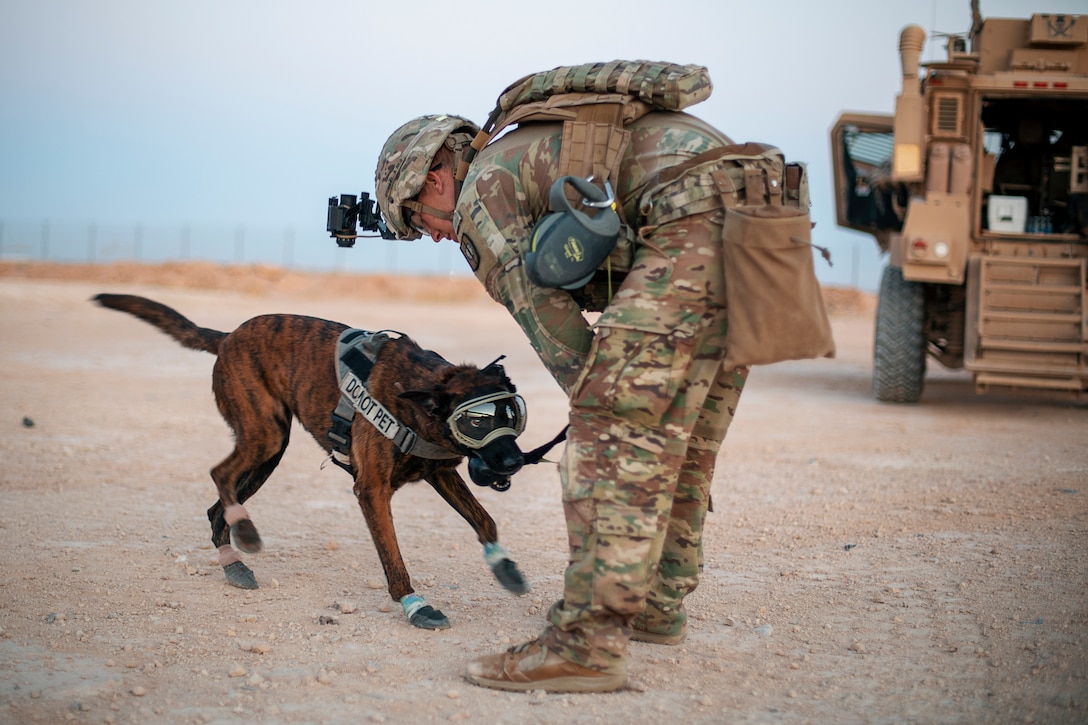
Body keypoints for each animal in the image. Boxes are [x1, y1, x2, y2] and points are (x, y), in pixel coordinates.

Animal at [95, 293, 528, 627]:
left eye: (511, 414)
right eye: (478, 420)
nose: (515, 461)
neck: (418, 394)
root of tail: (229, 336)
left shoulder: (440, 474)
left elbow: (484, 520)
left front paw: (505, 567)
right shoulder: (371, 490)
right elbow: (394, 558)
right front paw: (415, 605)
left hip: (267, 455)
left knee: (216, 507)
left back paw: (233, 561)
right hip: (264, 437)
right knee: (219, 474)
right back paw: (245, 533)